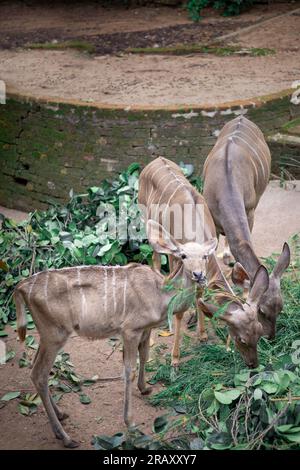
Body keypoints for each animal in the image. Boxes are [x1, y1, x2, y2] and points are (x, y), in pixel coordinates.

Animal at [13, 220, 216, 448]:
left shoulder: (145, 328)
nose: (199, 275)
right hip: (55, 333)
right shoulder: (129, 329)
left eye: (205, 256)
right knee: (39, 373)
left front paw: (145, 388)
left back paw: (62, 415)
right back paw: (65, 437)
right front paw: (130, 423)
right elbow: (128, 369)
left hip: (46, 334)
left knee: (35, 368)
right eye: (183, 255)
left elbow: (145, 355)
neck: (161, 294)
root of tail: (20, 287)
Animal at [138, 157, 264, 368]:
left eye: (259, 332)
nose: (252, 364)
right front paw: (175, 358)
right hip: (148, 224)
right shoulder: (176, 258)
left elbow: (199, 296)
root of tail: (155, 160)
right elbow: (179, 308)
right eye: (241, 339)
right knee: (154, 258)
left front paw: (203, 334)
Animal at [203, 115, 290, 340]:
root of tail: (242, 117)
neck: (226, 188)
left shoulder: (249, 210)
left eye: (281, 308)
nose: (271, 336)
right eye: (262, 310)